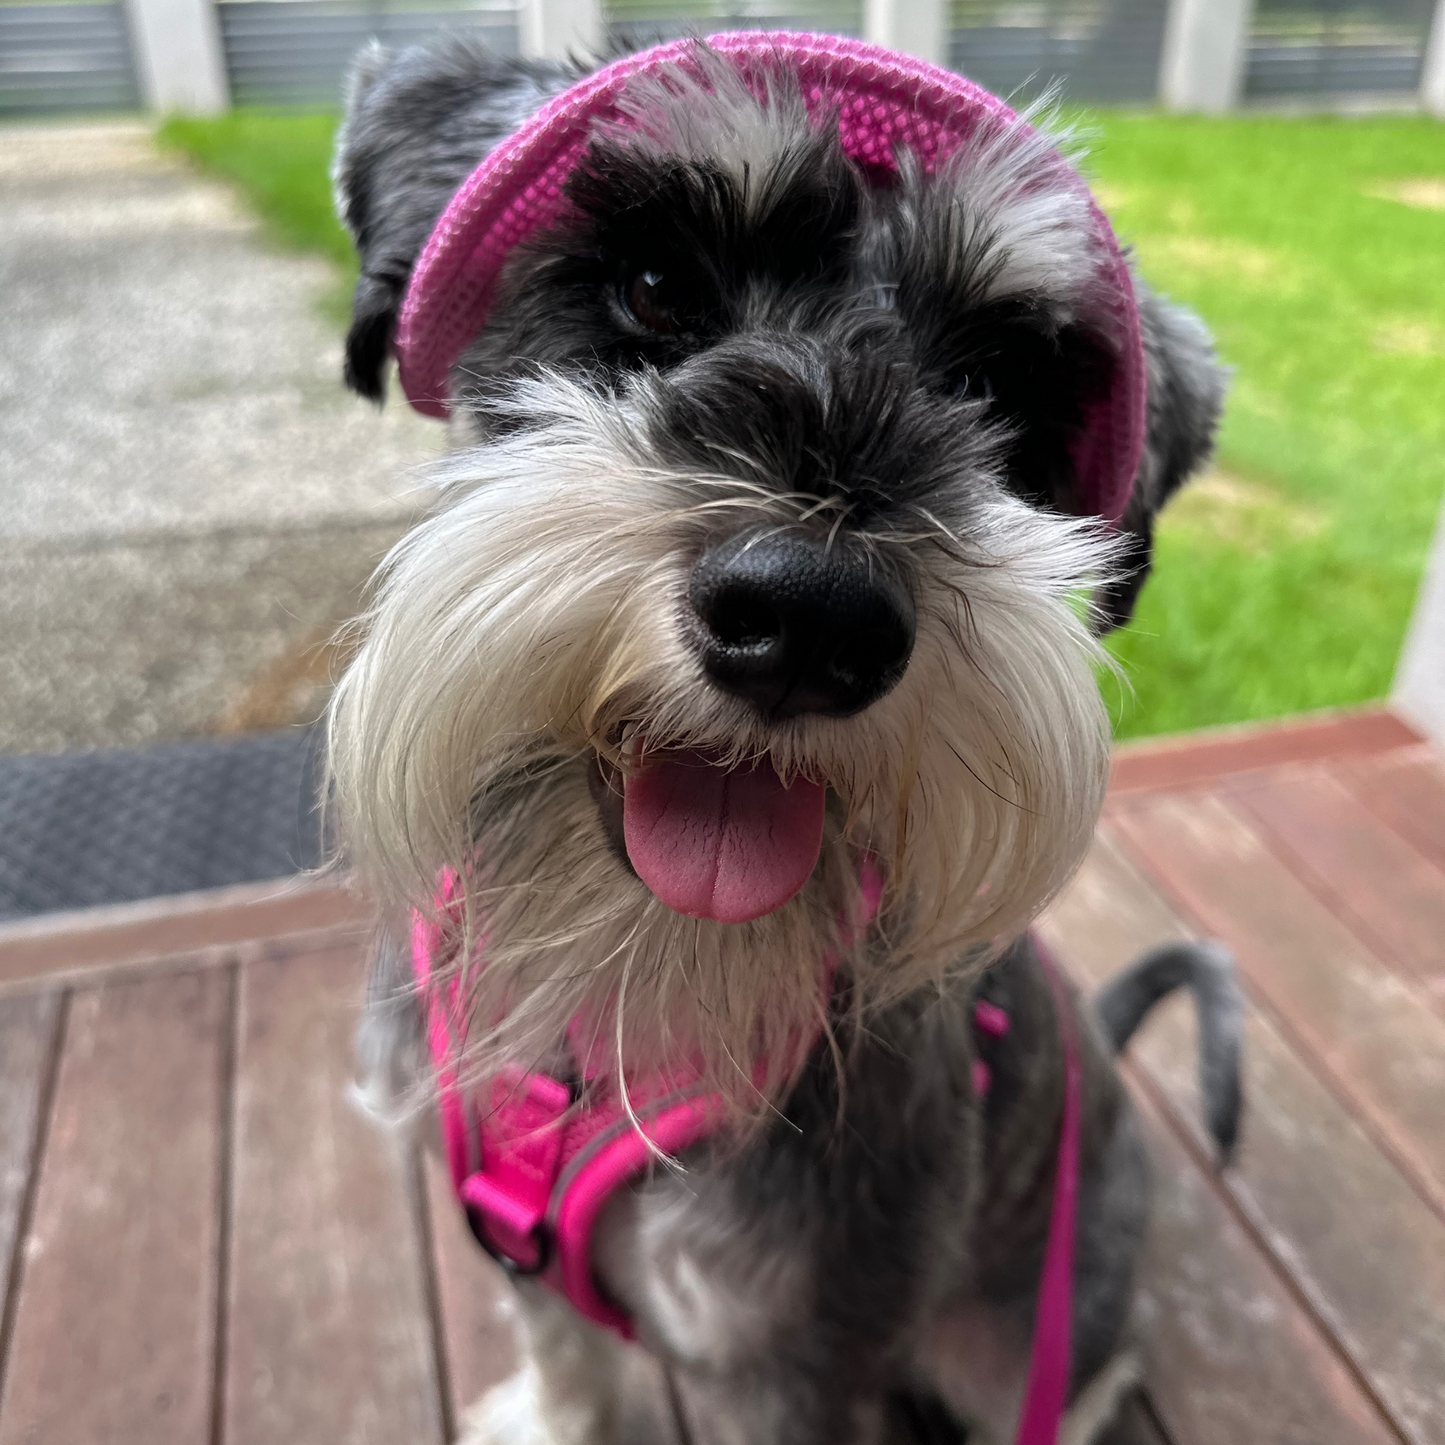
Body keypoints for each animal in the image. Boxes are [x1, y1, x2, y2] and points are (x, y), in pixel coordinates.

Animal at [328, 33, 1242, 1445]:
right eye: (654, 284)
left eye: (989, 381)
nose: (810, 618)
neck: (612, 1012)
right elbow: (565, 1348)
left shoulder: (796, 1353)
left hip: (1021, 1321)